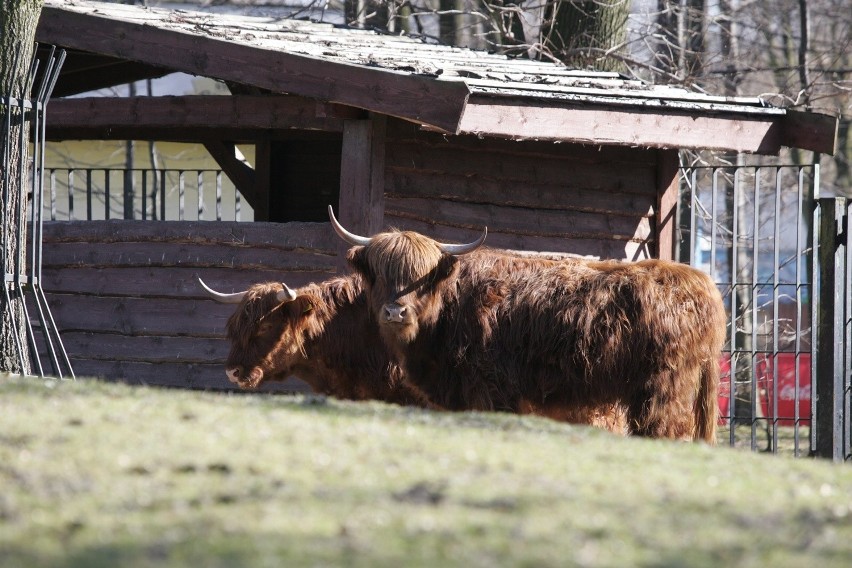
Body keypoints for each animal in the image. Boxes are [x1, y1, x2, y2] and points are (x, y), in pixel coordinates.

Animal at [330, 206, 728, 442]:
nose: (395, 313)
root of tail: (700, 282)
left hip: (663, 388)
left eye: (421, 278)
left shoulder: (490, 389)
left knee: (665, 430)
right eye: (382, 274)